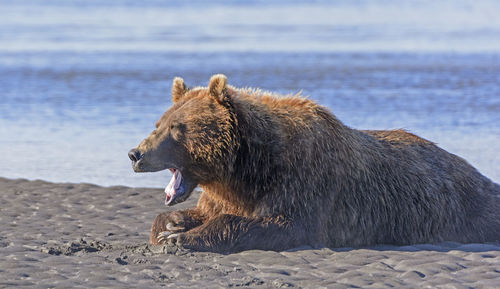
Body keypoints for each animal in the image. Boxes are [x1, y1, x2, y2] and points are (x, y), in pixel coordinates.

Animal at [129, 74, 500, 252]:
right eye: (158, 123)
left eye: (178, 128)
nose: (136, 154)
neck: (245, 169)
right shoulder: (225, 194)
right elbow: (200, 211)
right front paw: (170, 227)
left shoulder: (303, 180)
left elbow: (281, 224)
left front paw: (181, 239)